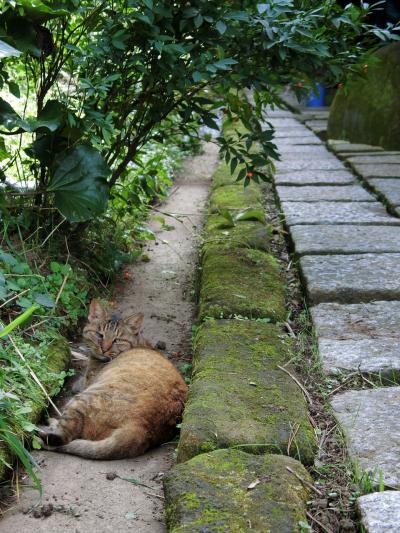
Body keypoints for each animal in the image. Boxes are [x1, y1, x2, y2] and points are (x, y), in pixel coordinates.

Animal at [37, 298, 188, 460]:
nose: (104, 349)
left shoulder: (89, 380)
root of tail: (140, 428)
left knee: (62, 437)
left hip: (84, 399)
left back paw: (46, 427)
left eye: (117, 340)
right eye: (99, 335)